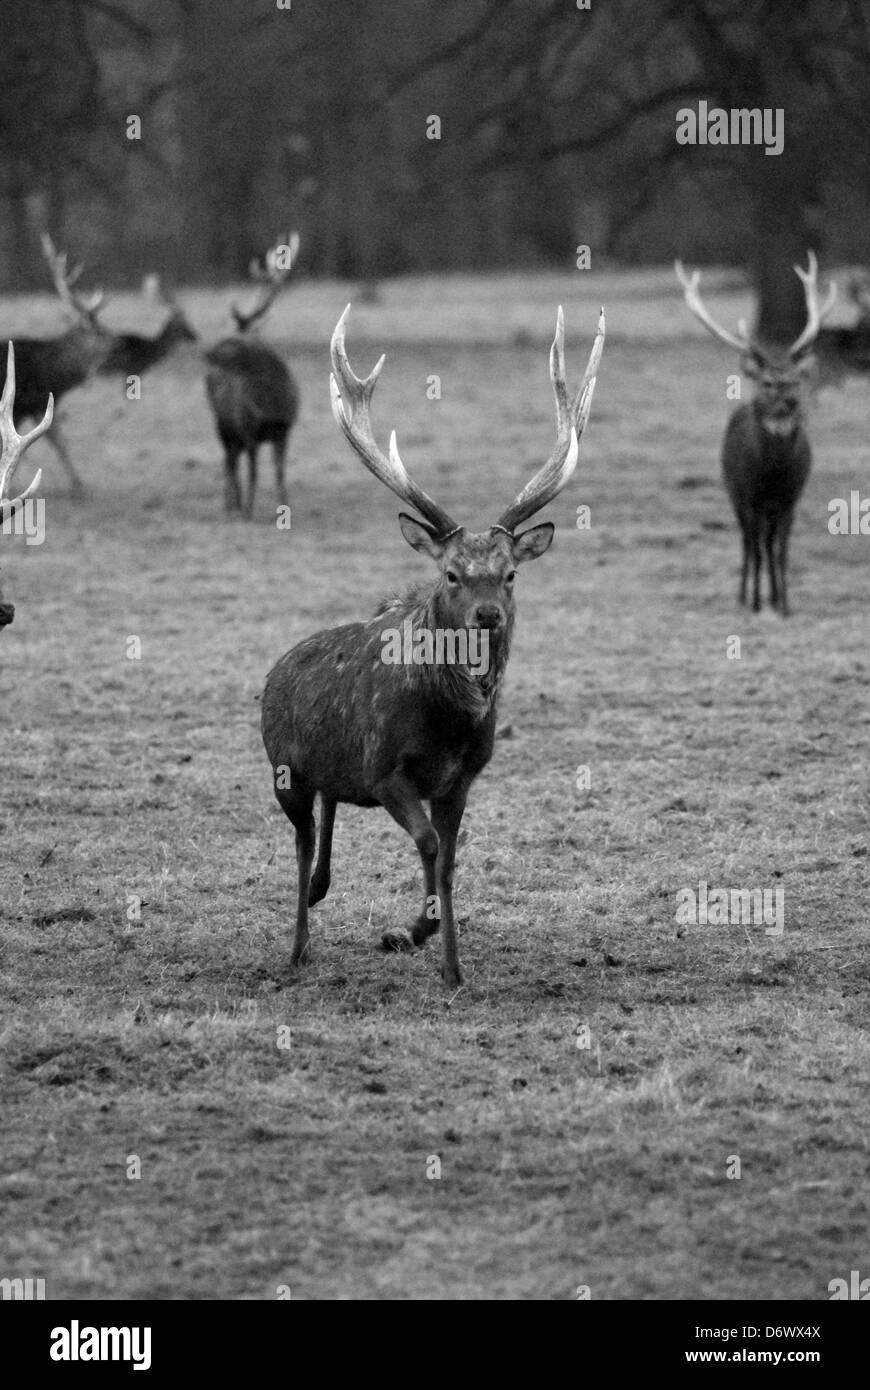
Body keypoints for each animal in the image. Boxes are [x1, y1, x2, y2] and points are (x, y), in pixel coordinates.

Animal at [204, 233, 300, 517]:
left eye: (230, 342)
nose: (206, 354)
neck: (270, 403)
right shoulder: (249, 431)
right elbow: (253, 473)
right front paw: (248, 510)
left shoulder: (284, 429)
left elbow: (279, 474)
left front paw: (284, 506)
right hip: (222, 422)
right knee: (228, 460)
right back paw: (230, 505)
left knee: (231, 459)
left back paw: (233, 503)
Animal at [258, 301, 603, 989]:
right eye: (450, 574)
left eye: (511, 573)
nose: (487, 615)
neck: (450, 723)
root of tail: (275, 673)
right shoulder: (386, 769)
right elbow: (427, 845)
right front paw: (410, 932)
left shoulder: (463, 779)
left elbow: (448, 860)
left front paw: (450, 965)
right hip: (284, 770)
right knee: (302, 839)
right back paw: (298, 945)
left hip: (332, 777)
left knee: (330, 811)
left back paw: (323, 894)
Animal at [675, 255, 828, 614]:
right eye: (768, 382)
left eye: (796, 379)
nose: (792, 402)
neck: (772, 475)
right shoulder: (748, 495)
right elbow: (755, 548)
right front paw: (755, 602)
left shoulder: (792, 497)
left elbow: (781, 551)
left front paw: (783, 604)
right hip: (733, 491)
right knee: (749, 542)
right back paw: (745, 595)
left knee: (768, 542)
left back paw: (772, 595)